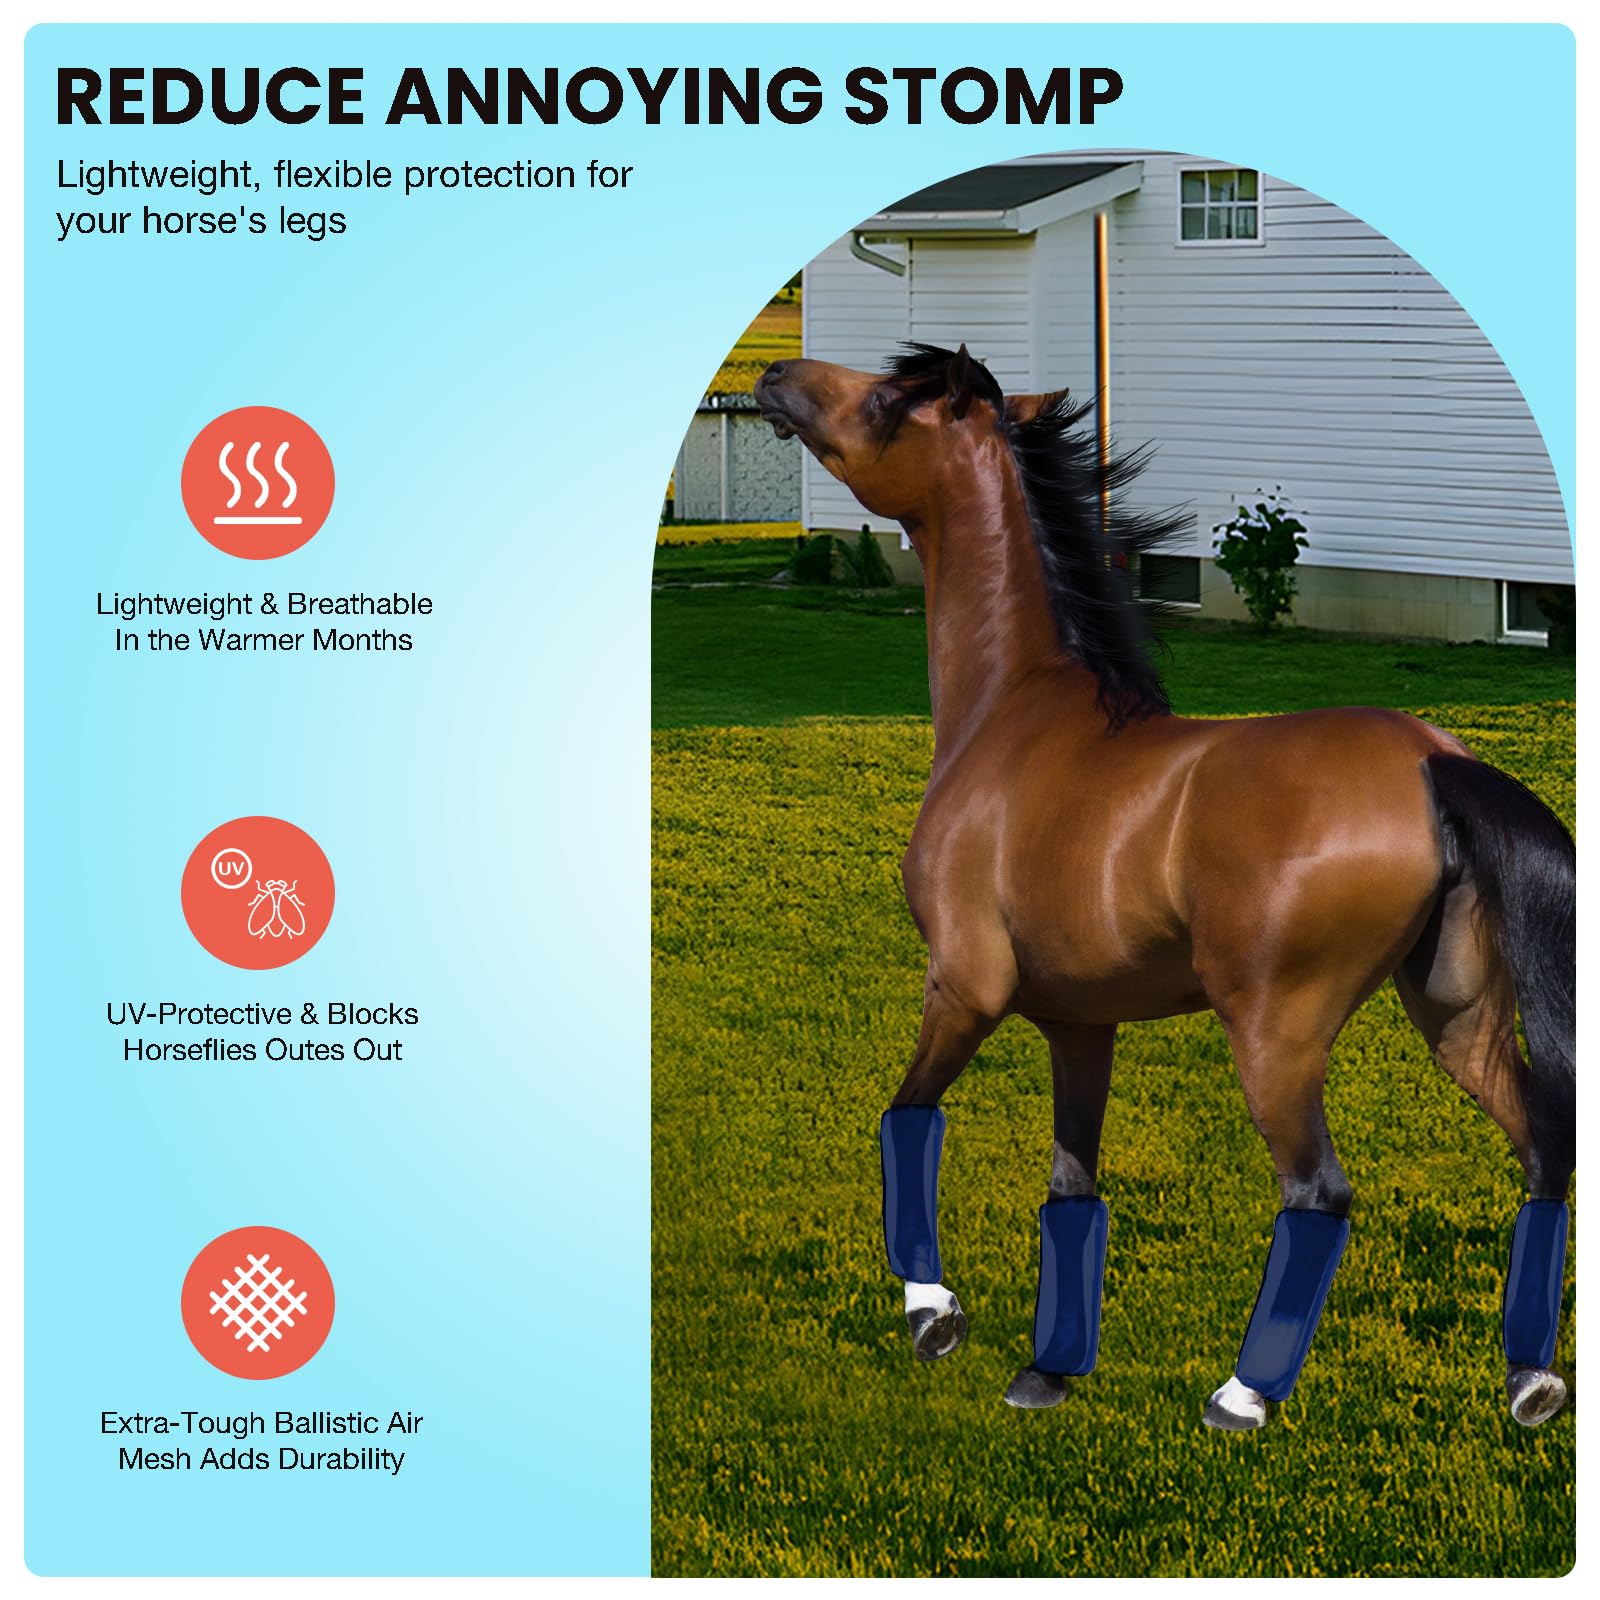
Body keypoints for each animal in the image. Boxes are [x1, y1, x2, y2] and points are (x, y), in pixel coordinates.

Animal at [754, 342, 1575, 1429]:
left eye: (890, 398)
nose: (775, 377)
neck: (1011, 716)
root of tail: (1431, 759)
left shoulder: (965, 987)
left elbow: (905, 1116)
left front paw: (934, 1315)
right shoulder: (1077, 1024)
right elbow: (1071, 1185)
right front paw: (1046, 1372)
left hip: (1276, 1034)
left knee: (1318, 1192)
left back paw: (1242, 1394)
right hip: (1456, 1015)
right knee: (1541, 1148)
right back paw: (1531, 1380)